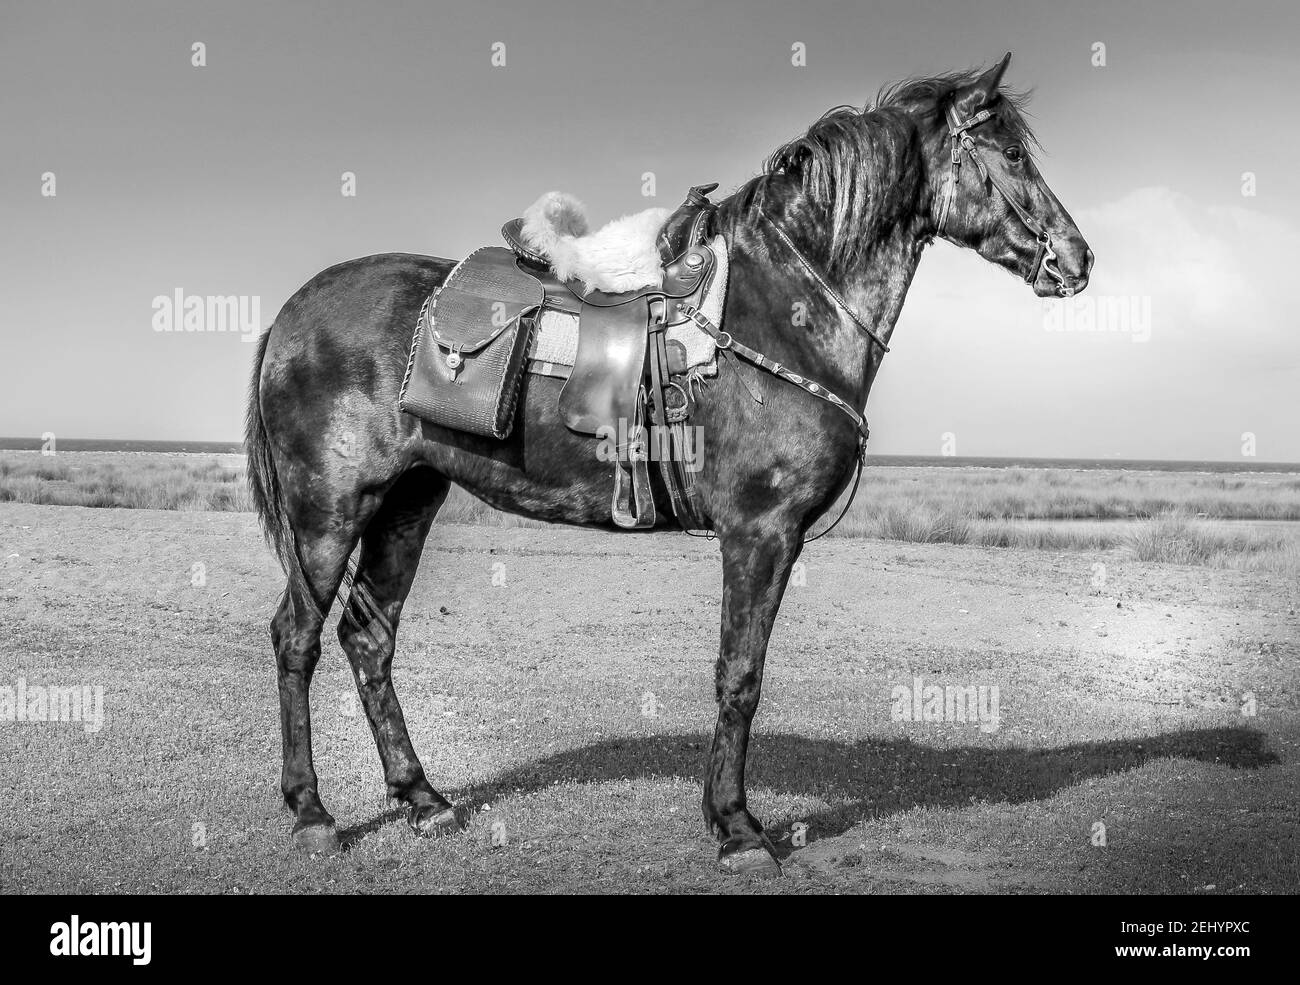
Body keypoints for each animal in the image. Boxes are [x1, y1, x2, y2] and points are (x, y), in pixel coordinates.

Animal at [245, 53, 1093, 877]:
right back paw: (312, 812)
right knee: (297, 635)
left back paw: (423, 797)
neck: (779, 312)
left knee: (369, 638)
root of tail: (292, 313)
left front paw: (724, 815)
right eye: (1012, 153)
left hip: (406, 501)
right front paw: (739, 828)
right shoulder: (760, 531)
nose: (1077, 257)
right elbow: (740, 675)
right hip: (331, 508)